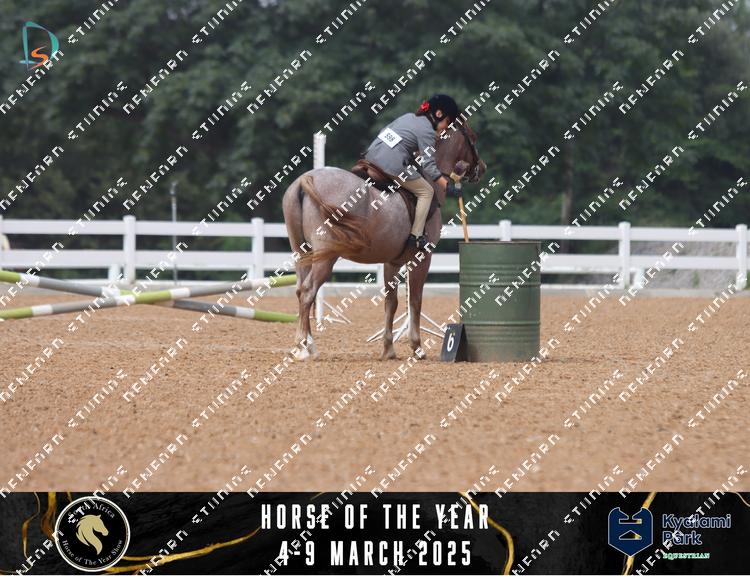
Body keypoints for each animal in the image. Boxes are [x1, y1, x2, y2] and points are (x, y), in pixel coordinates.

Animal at [282, 122, 486, 361]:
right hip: (325, 258)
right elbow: (415, 301)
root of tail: (307, 179)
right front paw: (417, 347)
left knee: (300, 291)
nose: (482, 168)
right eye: (473, 137)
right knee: (308, 291)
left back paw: (307, 345)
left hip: (302, 254)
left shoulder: (392, 262)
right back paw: (304, 346)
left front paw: (388, 349)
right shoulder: (421, 258)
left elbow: (392, 302)